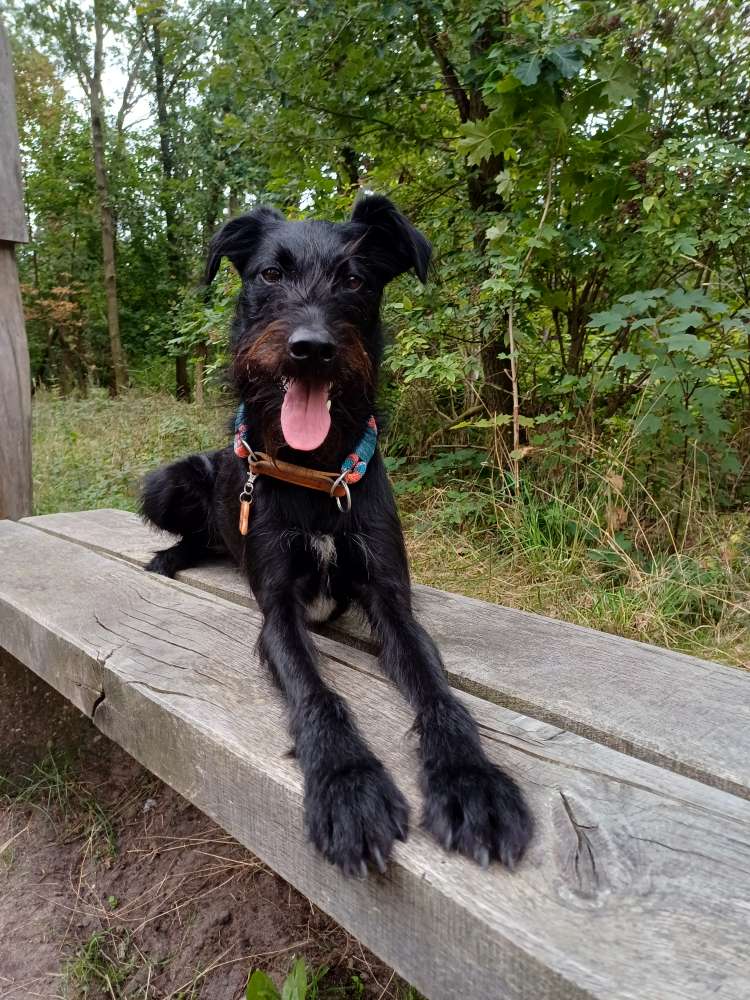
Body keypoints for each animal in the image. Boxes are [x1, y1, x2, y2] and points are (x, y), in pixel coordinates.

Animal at [141, 193, 536, 876]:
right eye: (270, 274)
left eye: (354, 280)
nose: (312, 348)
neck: (318, 471)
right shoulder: (278, 610)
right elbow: (317, 694)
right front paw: (348, 785)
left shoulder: (389, 600)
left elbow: (437, 691)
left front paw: (471, 780)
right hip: (169, 480)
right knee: (197, 534)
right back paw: (171, 556)